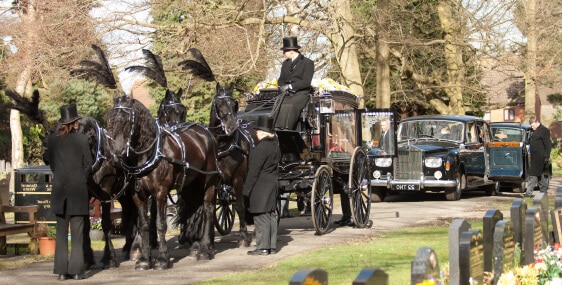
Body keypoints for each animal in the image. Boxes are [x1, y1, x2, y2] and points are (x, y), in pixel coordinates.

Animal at [105, 93, 219, 268]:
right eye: (110, 119)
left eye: (128, 120)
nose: (117, 152)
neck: (149, 153)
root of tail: (206, 133)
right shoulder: (138, 195)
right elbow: (144, 225)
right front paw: (145, 259)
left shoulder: (160, 192)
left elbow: (160, 224)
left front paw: (163, 258)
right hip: (189, 186)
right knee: (193, 209)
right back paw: (195, 247)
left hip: (209, 182)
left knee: (208, 210)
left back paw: (205, 249)